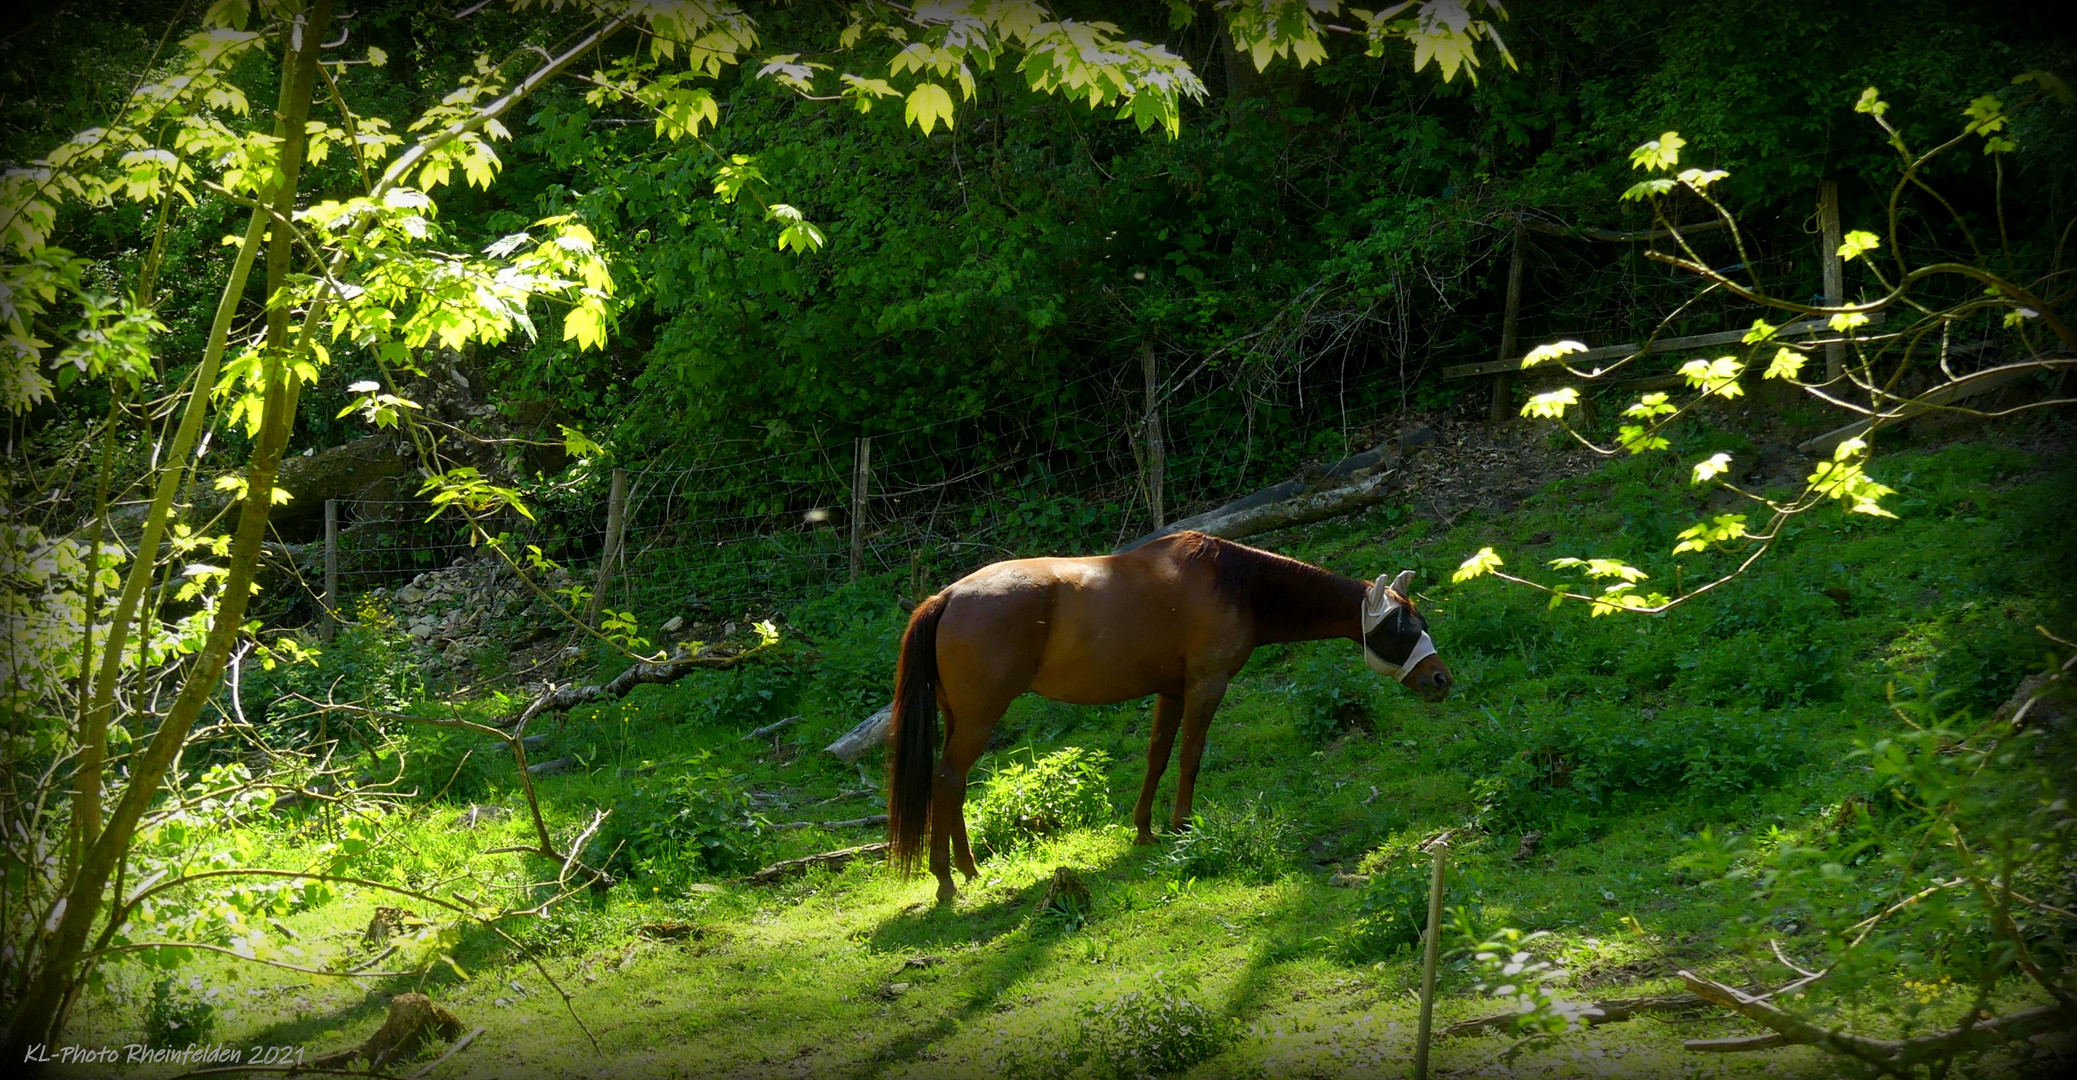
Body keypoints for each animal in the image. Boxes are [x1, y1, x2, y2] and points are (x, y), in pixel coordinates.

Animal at [884, 531, 1453, 901]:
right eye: (1402, 627)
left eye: (1420, 619)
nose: (1441, 680)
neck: (1236, 582)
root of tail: (946, 595)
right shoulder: (1207, 684)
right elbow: (1191, 756)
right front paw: (1182, 825)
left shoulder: (1171, 692)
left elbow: (1157, 756)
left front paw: (1144, 830)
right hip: (980, 718)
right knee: (947, 780)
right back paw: (947, 879)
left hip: (961, 719)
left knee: (954, 784)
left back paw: (968, 869)